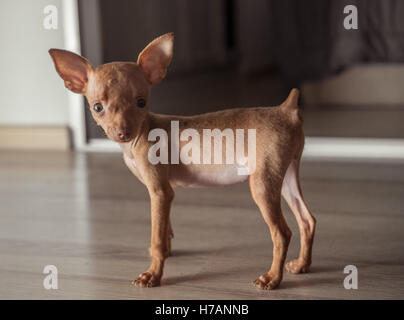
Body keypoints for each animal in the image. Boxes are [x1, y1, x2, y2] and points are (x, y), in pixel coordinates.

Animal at [49, 33, 316, 290]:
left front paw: (152, 275)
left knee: (282, 234)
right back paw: (302, 264)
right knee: (307, 220)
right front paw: (165, 254)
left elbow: (156, 236)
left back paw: (272, 278)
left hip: (262, 184)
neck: (140, 137)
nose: (123, 132)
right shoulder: (165, 193)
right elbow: (165, 229)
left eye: (141, 102)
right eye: (97, 107)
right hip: (286, 175)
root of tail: (285, 109)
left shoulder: (160, 192)